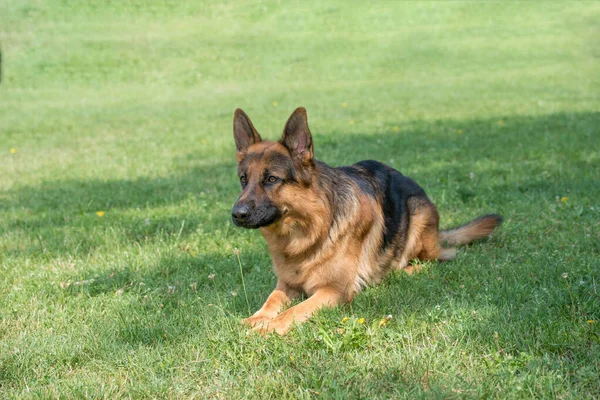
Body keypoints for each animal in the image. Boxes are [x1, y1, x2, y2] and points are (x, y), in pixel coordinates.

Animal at [232, 108, 500, 336]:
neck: (308, 230)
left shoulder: (333, 291)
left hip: (417, 214)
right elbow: (271, 301)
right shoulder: (286, 284)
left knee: (436, 259)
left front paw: (269, 327)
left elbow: (294, 310)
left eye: (271, 179)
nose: (237, 214)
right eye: (243, 180)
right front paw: (255, 318)